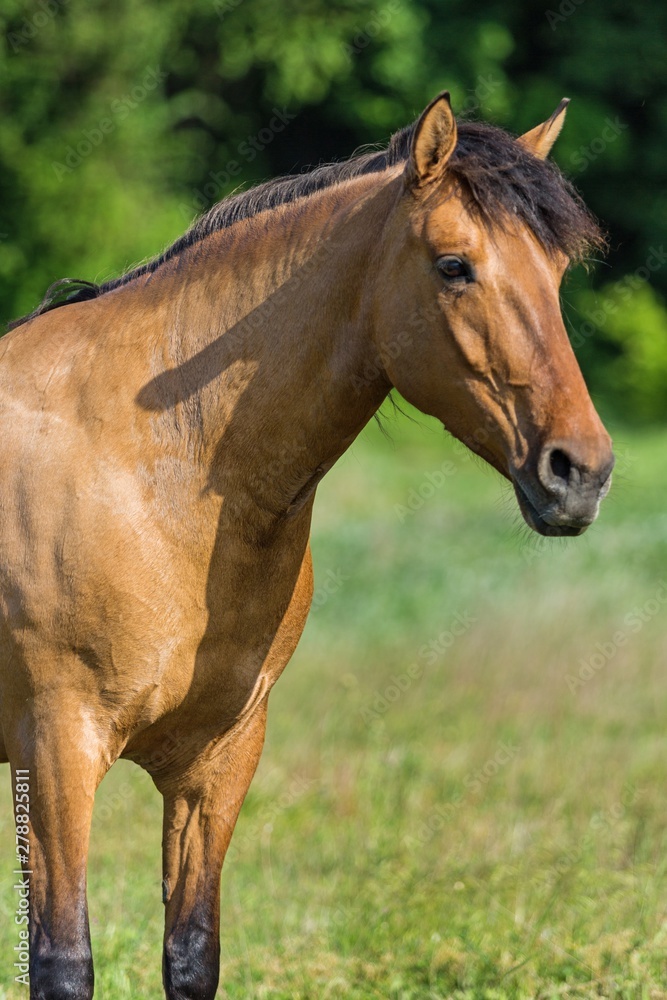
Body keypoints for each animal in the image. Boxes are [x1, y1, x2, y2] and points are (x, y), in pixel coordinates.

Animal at [0, 90, 616, 996]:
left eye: (557, 272)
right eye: (453, 266)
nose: (580, 471)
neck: (154, 467)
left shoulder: (218, 759)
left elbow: (192, 954)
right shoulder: (55, 749)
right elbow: (63, 961)